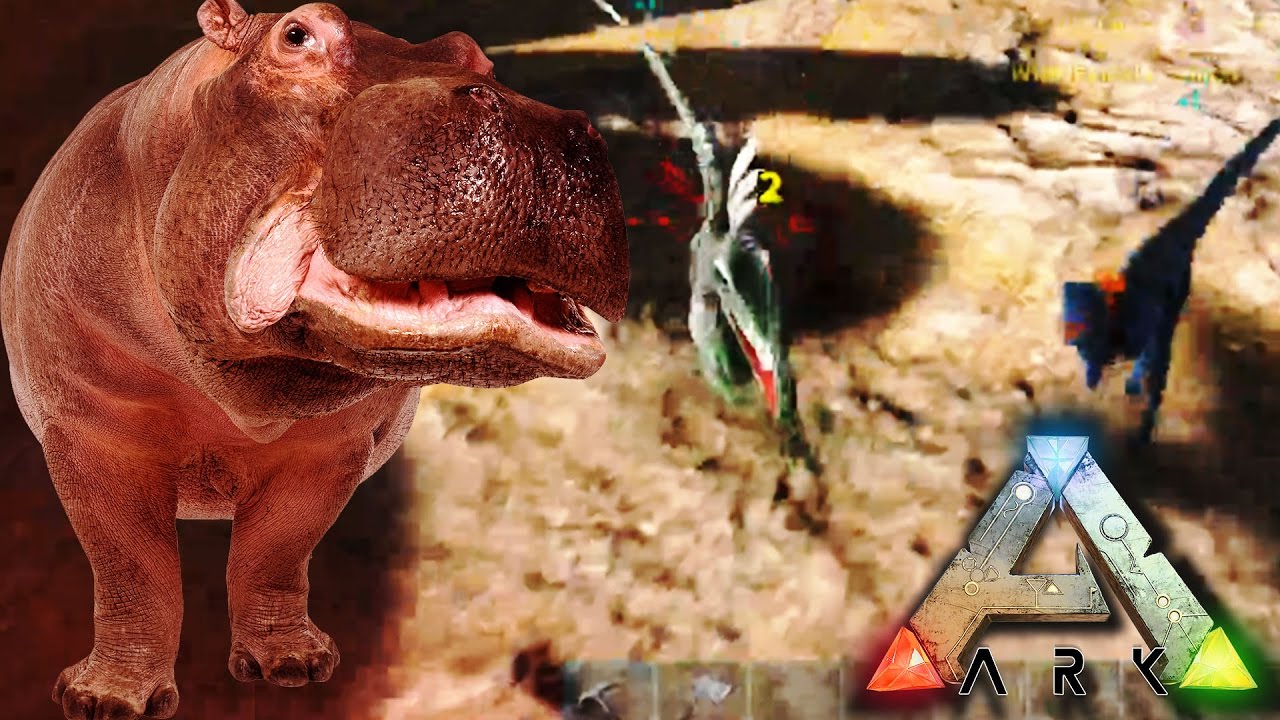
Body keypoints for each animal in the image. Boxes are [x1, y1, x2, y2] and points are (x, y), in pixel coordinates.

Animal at [0, 1, 628, 717]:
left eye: (476, 53)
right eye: (298, 34)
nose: (541, 127)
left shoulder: (329, 447)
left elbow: (276, 549)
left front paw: (293, 667)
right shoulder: (95, 431)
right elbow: (132, 570)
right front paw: (105, 700)